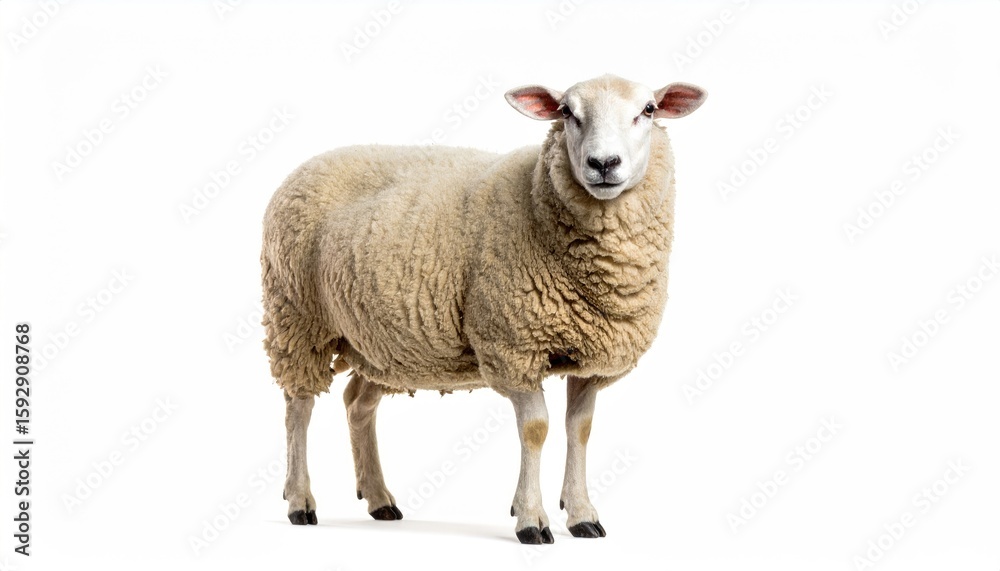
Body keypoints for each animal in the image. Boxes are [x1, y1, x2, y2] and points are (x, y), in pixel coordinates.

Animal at [260, 74, 706, 543]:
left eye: (649, 110)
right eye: (567, 112)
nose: (603, 163)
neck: (535, 200)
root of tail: (305, 166)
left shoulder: (591, 360)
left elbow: (579, 429)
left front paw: (581, 513)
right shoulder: (512, 346)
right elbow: (536, 429)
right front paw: (531, 519)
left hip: (382, 342)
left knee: (358, 404)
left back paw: (379, 498)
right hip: (297, 317)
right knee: (298, 408)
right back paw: (300, 501)